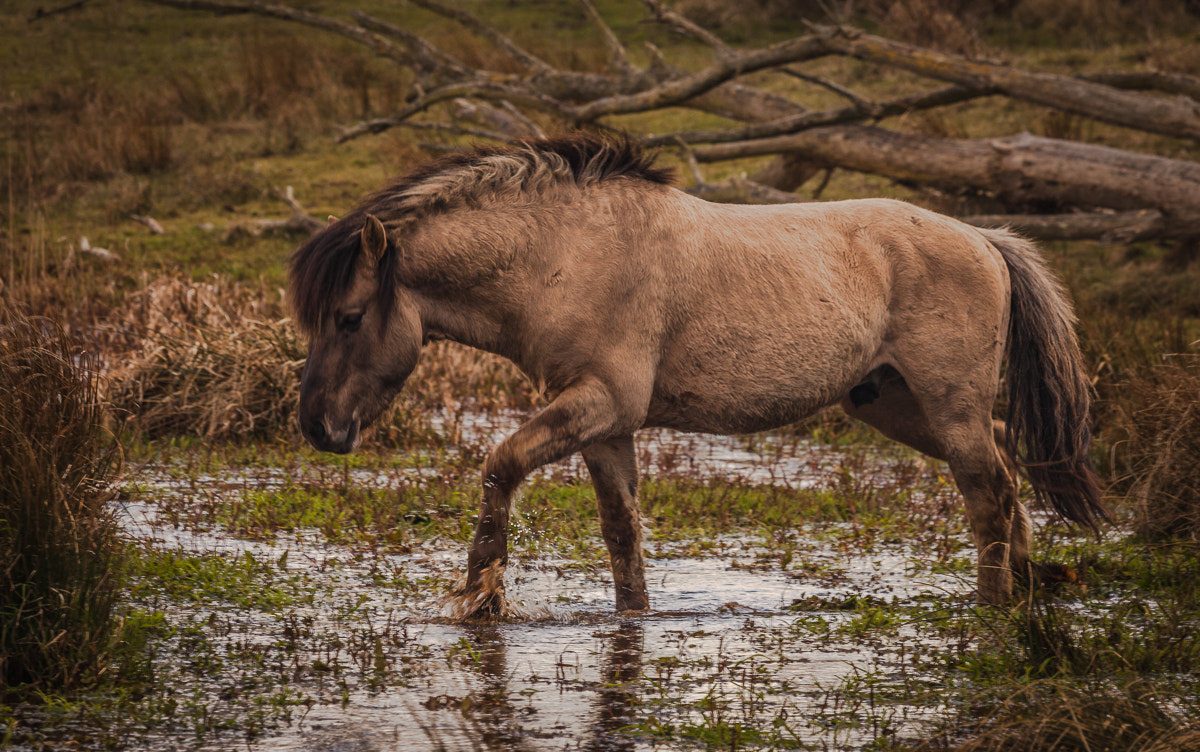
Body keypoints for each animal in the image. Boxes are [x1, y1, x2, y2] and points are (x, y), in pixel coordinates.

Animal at [288, 133, 1105, 616]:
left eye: (350, 318)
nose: (318, 427)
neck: (565, 253)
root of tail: (985, 238)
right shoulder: (603, 425)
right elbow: (621, 533)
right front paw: (633, 618)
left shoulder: (599, 402)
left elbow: (500, 464)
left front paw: (480, 596)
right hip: (897, 406)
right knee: (1006, 471)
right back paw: (1027, 585)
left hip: (946, 406)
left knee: (988, 493)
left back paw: (993, 606)